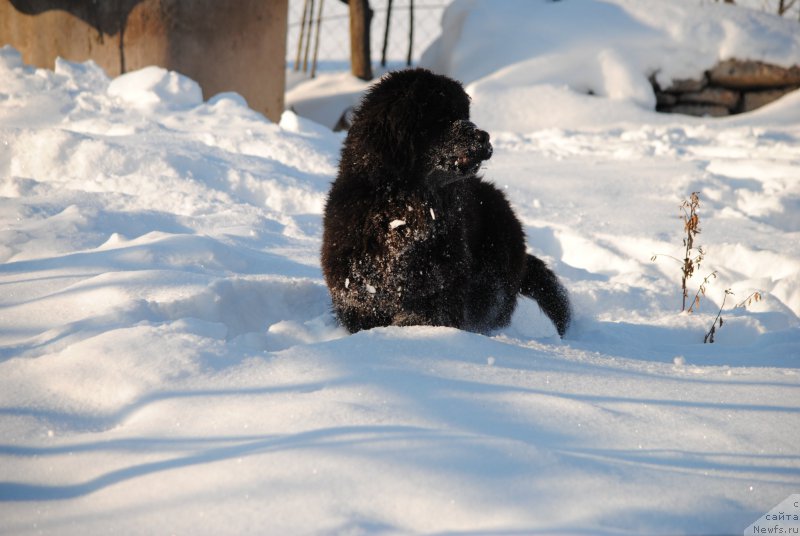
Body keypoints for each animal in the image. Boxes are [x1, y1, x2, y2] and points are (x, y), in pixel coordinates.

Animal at [322, 67, 572, 336]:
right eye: (441, 117)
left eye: (464, 114)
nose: (484, 137)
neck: (404, 210)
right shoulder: (356, 291)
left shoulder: (440, 289)